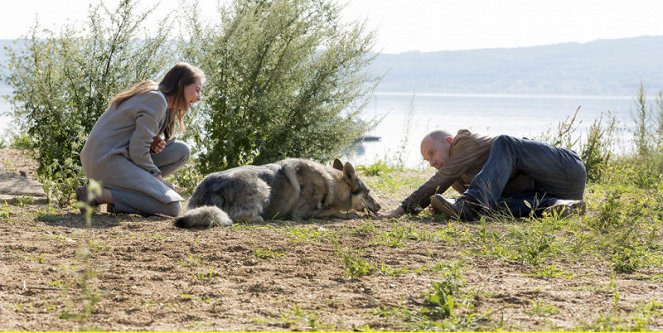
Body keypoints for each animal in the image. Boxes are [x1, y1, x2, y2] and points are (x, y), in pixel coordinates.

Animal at [174, 157, 382, 227]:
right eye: (368, 192)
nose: (380, 206)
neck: (330, 183)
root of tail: (207, 189)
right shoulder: (301, 213)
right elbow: (337, 211)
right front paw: (350, 215)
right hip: (262, 187)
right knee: (240, 218)